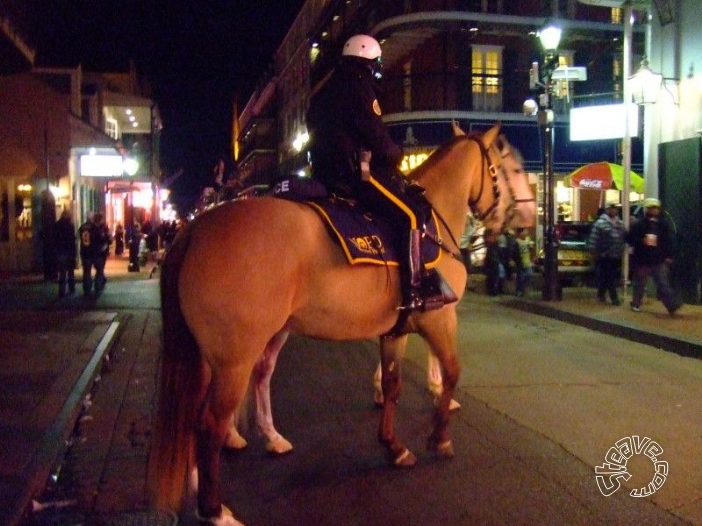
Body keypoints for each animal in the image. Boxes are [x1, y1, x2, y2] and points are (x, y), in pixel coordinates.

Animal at [151, 122, 536, 524]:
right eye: (516, 169)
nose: (528, 223)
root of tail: (195, 228)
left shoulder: (397, 328)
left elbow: (395, 385)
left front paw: (393, 444)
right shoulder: (440, 317)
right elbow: (452, 371)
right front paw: (440, 435)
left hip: (221, 351)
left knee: (209, 405)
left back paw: (234, 458)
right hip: (233, 359)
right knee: (209, 422)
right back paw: (214, 508)